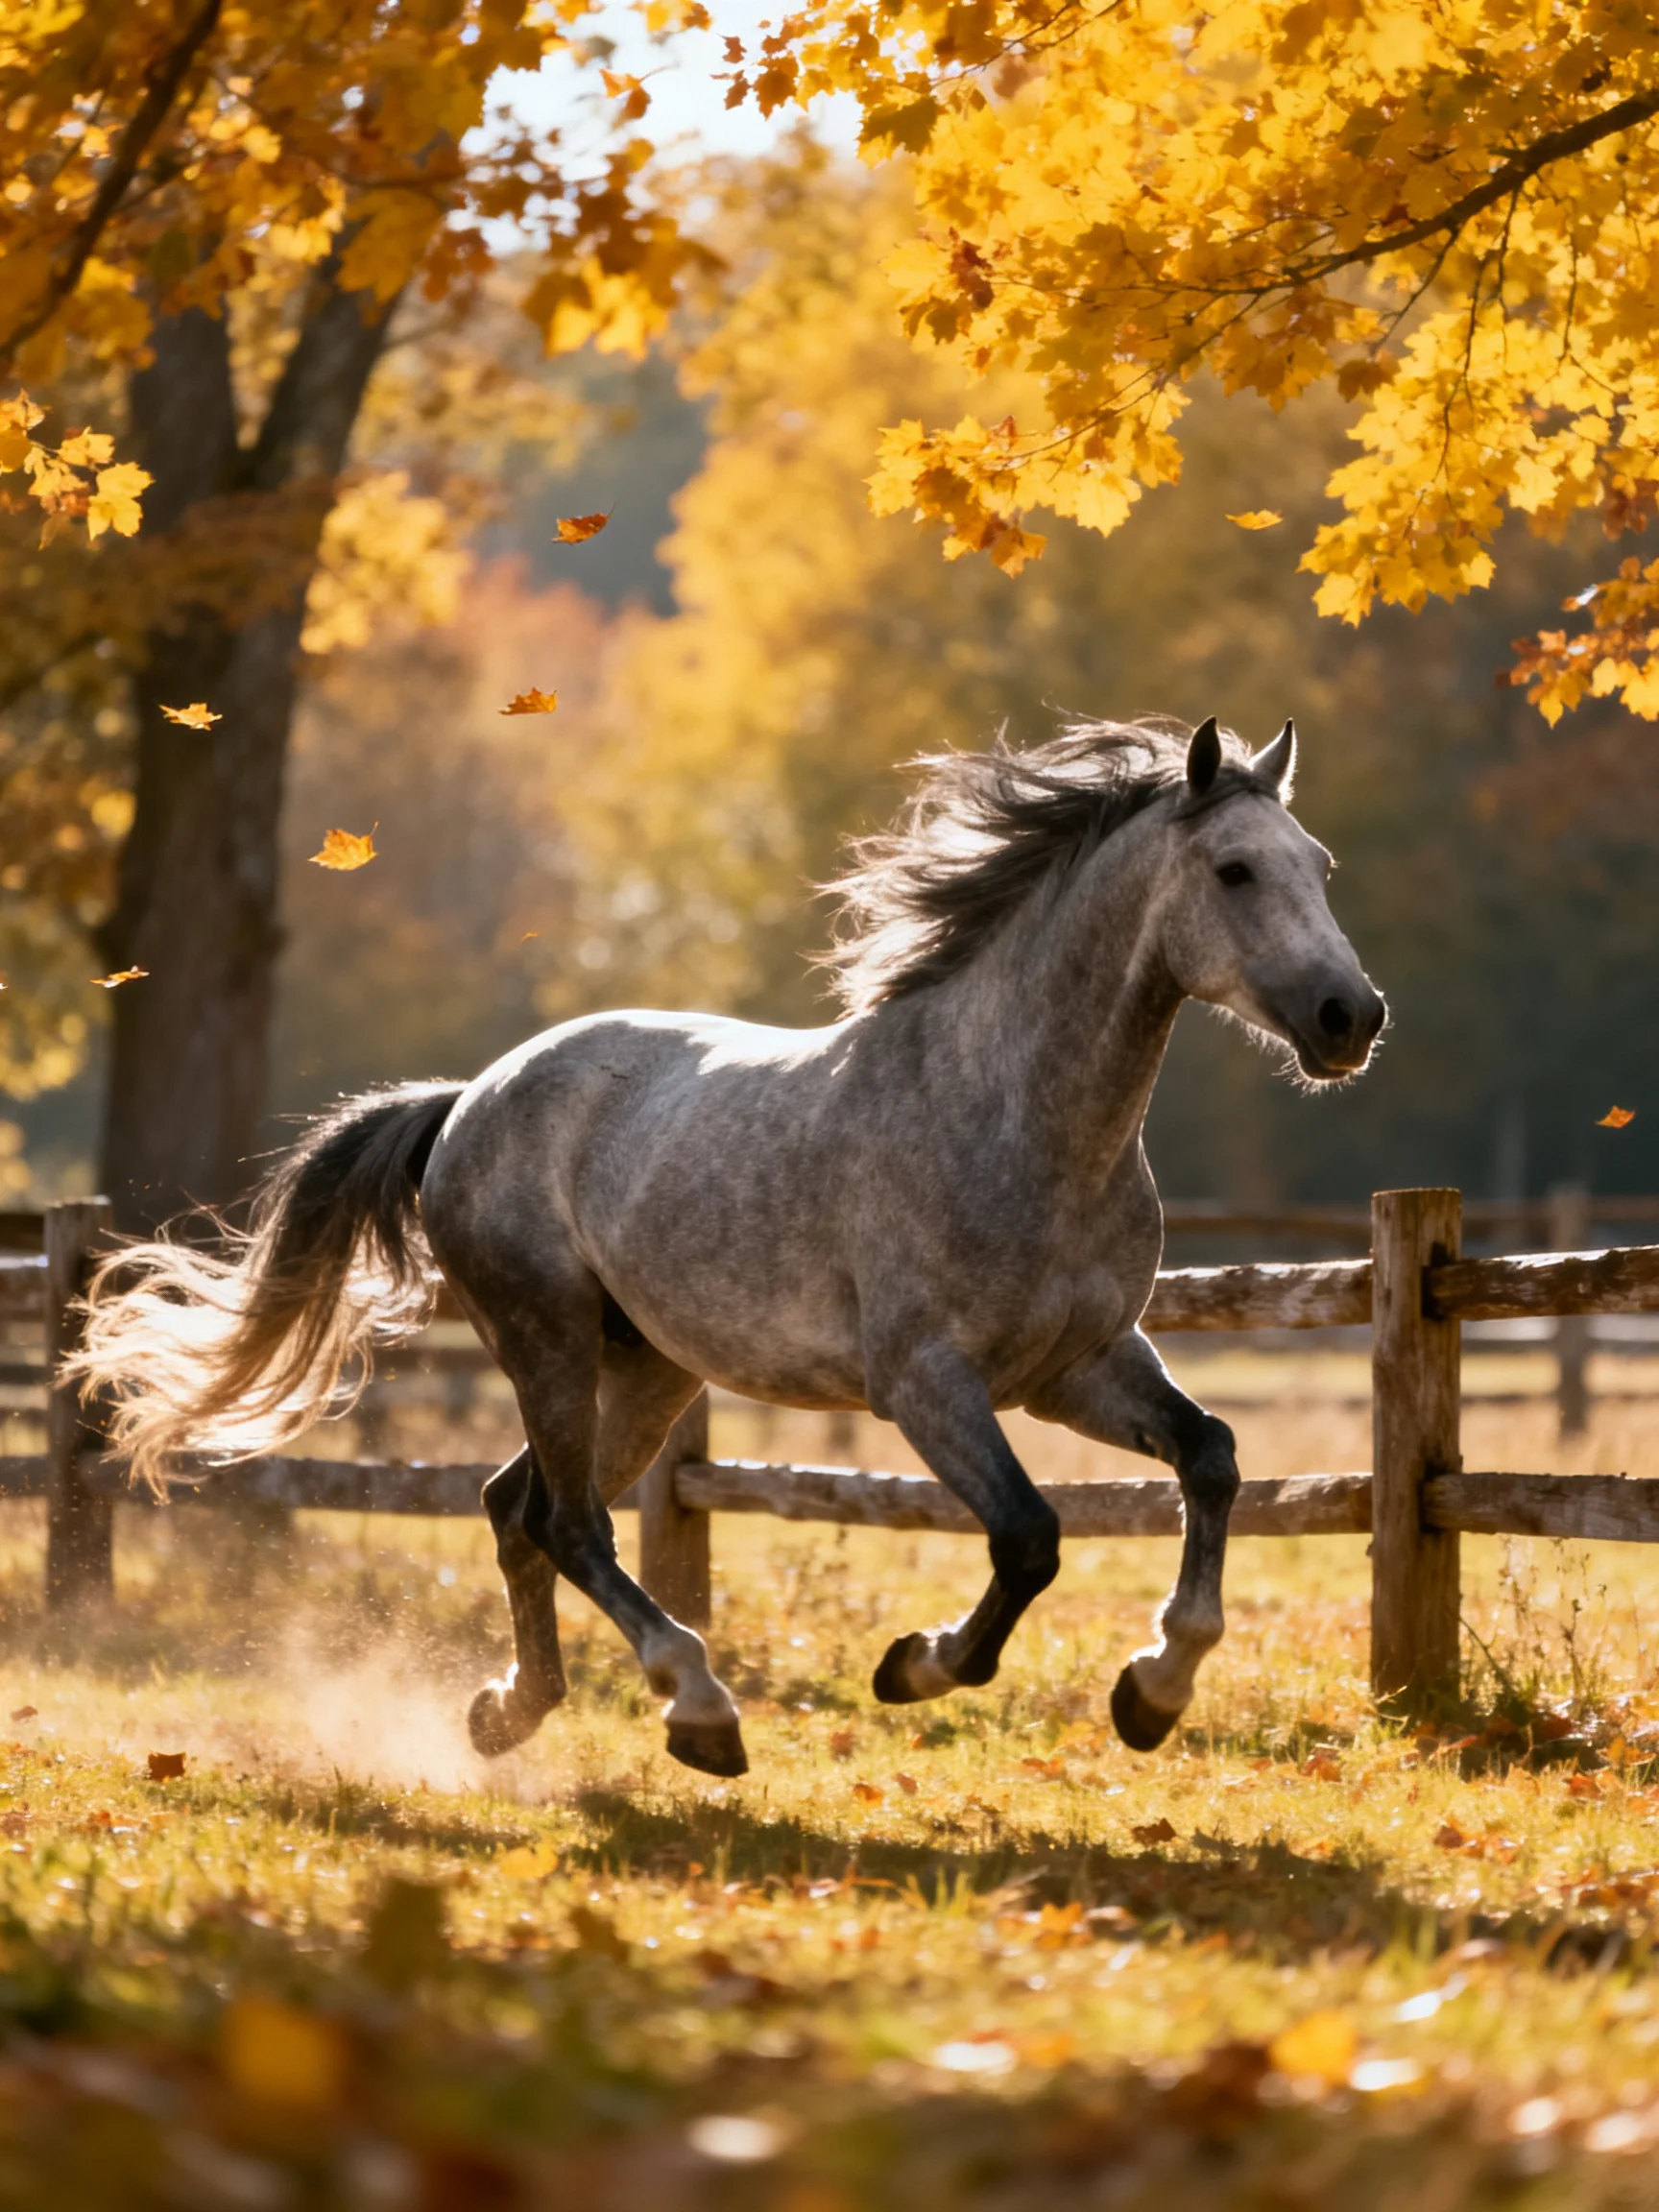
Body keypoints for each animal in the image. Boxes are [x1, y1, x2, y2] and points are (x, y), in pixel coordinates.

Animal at [75, 714, 1385, 1778]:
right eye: (1234, 868)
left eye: (1321, 867)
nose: (1351, 1018)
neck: (1017, 1115)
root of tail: (469, 1099)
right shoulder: (926, 1381)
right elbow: (1028, 1538)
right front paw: (916, 1664)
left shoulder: (1078, 1366)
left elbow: (1211, 1458)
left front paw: (1154, 1692)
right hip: (547, 1335)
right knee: (568, 1523)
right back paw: (697, 1711)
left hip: (644, 1367)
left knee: (516, 1509)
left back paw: (514, 1711)